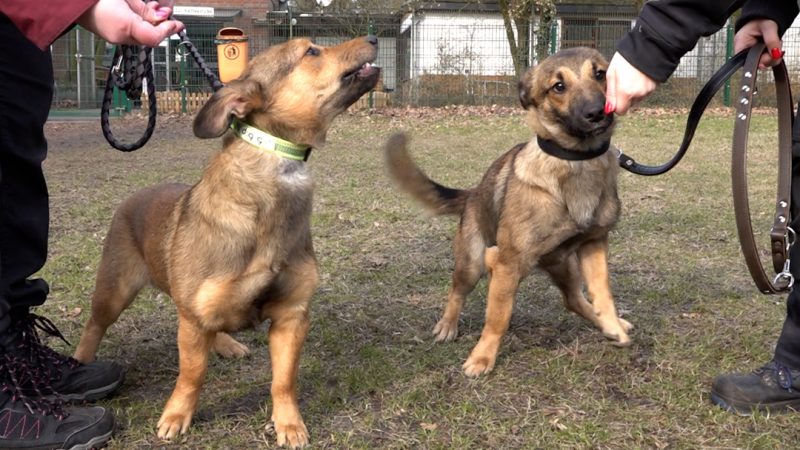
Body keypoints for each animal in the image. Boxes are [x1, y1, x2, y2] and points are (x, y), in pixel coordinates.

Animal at [72, 36, 382, 446]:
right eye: (311, 51)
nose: (374, 38)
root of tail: (135, 196)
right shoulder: (194, 318)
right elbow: (191, 375)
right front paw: (177, 415)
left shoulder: (292, 316)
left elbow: (283, 381)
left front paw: (289, 424)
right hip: (115, 290)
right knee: (95, 325)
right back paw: (80, 363)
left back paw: (224, 343)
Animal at [386, 46, 632, 376]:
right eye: (558, 86)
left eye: (600, 74)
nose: (597, 112)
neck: (576, 162)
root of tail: (473, 193)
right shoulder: (506, 263)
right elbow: (497, 318)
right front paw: (482, 357)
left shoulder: (593, 242)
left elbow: (602, 290)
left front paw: (612, 324)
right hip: (473, 262)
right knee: (457, 291)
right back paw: (448, 325)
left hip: (562, 265)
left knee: (573, 299)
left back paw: (609, 324)